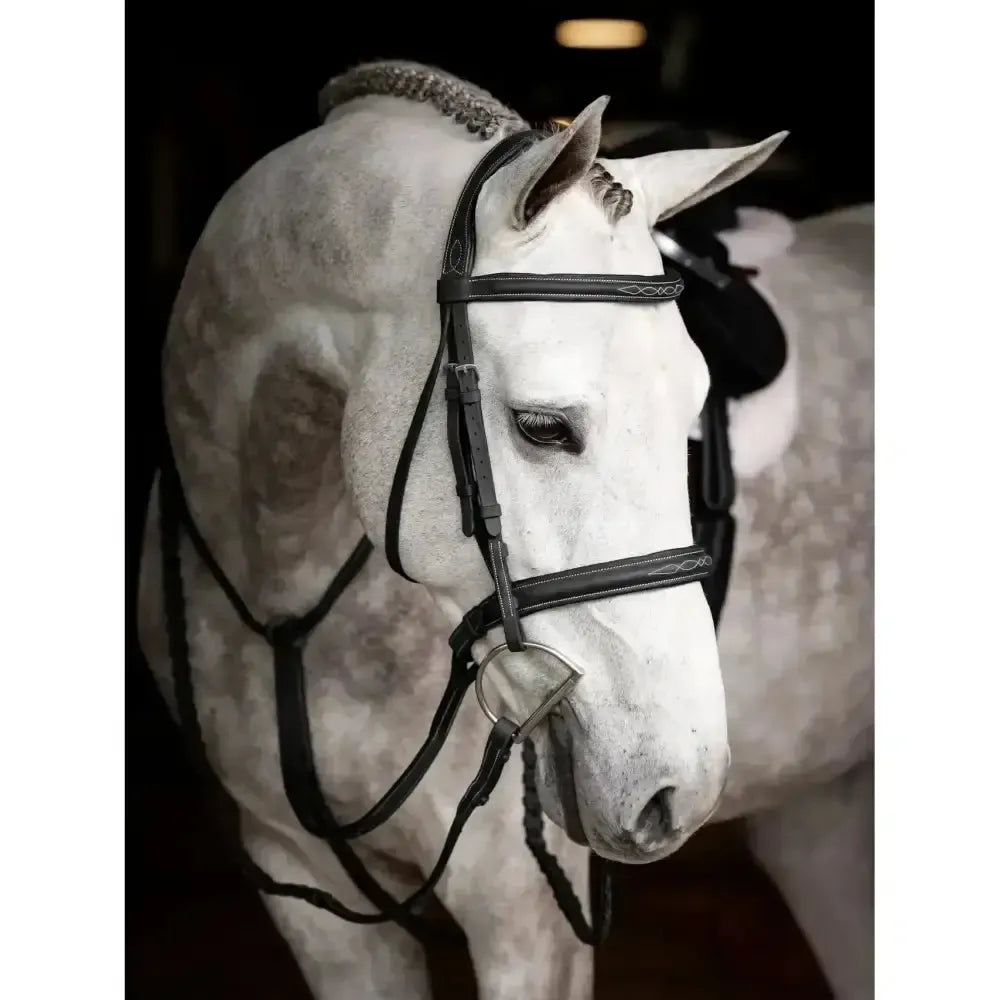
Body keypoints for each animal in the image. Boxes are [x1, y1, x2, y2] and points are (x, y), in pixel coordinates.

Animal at [136, 60, 872, 999]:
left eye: (690, 415)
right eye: (542, 427)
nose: (679, 786)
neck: (288, 596)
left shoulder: (522, 915)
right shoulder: (304, 885)